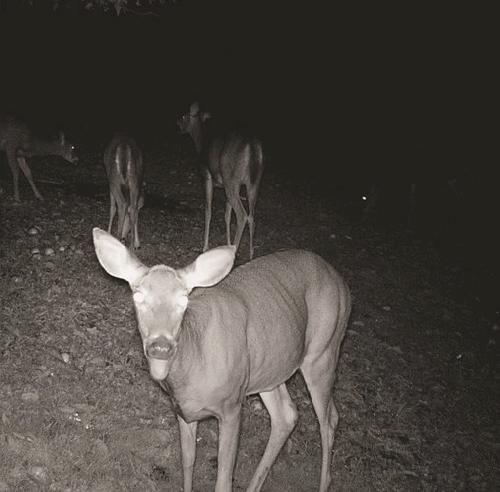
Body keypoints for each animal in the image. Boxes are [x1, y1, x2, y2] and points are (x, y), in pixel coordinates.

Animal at [92, 227, 351, 492]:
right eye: (138, 296)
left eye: (184, 299)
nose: (161, 346)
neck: (193, 361)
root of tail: (340, 281)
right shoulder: (183, 410)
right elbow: (188, 462)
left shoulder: (232, 405)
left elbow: (224, 479)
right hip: (269, 364)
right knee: (287, 415)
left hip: (324, 350)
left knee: (329, 419)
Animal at [177, 102, 264, 259]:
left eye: (183, 116)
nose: (177, 123)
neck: (200, 145)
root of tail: (252, 146)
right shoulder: (224, 185)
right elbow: (227, 215)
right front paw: (227, 243)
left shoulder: (206, 176)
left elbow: (208, 211)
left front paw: (205, 246)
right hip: (253, 183)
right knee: (252, 216)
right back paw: (251, 254)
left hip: (232, 179)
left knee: (242, 216)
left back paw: (235, 252)